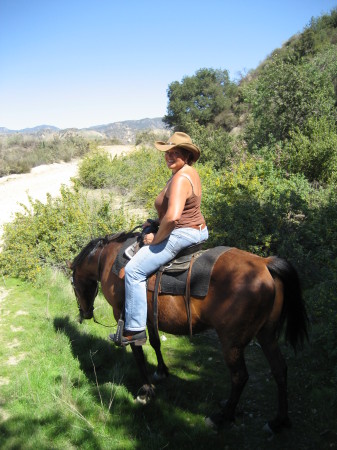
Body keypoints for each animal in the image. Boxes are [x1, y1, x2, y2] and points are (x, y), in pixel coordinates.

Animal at [69, 232, 308, 432]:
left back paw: (222, 416)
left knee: (240, 376)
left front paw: (146, 391)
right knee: (279, 369)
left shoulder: (125, 314)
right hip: (266, 335)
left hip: (232, 341)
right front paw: (161, 372)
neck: (108, 260)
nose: (84, 313)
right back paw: (278, 421)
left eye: (73, 284)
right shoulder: (149, 316)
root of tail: (265, 264)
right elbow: (155, 342)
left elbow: (137, 351)